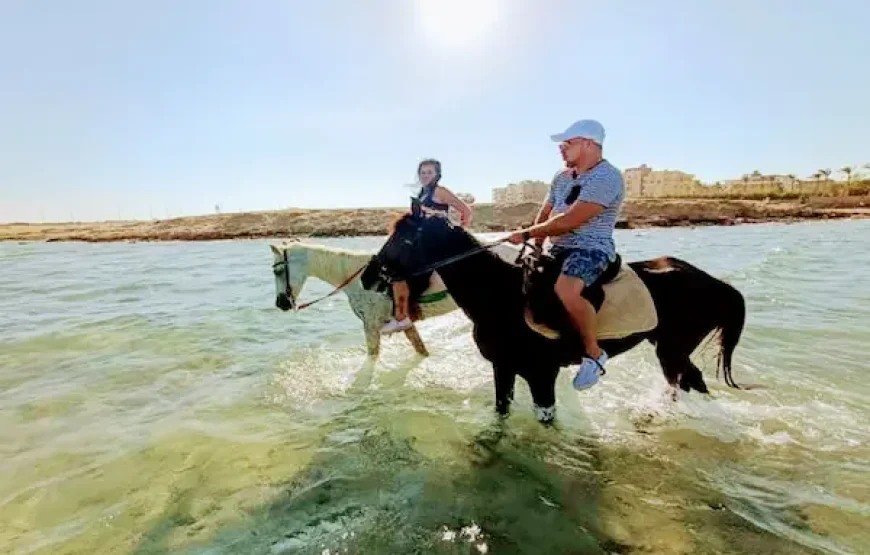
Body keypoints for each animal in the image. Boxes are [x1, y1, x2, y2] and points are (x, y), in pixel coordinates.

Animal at [359, 202, 747, 423]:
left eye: (404, 239)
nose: (367, 276)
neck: (500, 293)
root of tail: (714, 282)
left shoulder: (541, 376)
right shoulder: (504, 369)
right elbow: (500, 415)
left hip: (672, 350)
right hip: (671, 349)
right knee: (692, 382)